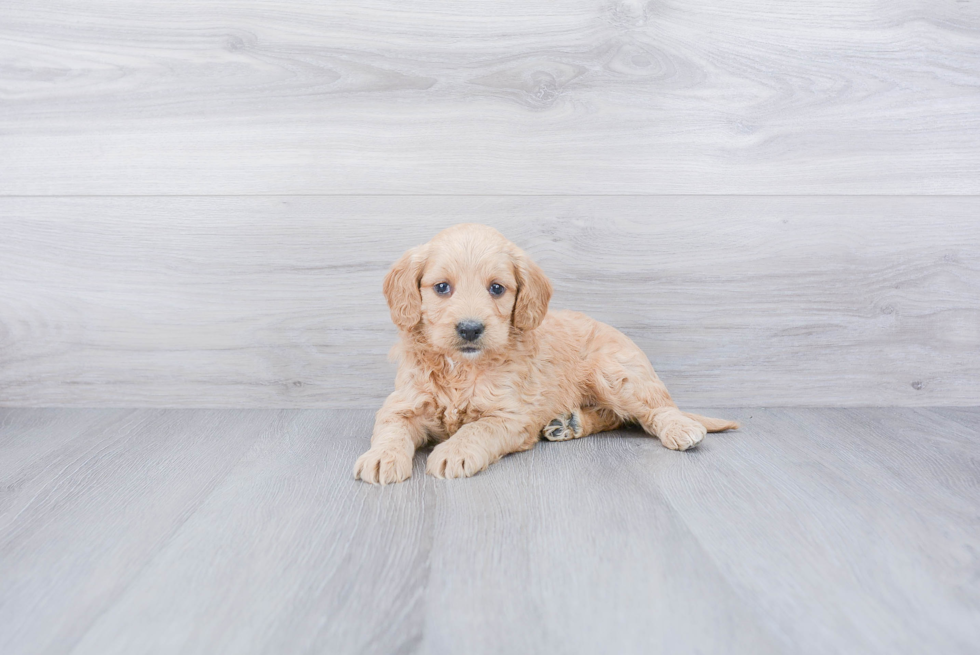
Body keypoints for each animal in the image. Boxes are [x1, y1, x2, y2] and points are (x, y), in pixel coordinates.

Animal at [356, 226, 740, 486]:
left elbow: (477, 429)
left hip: (615, 373)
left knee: (653, 409)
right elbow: (391, 429)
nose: (469, 329)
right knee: (614, 418)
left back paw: (679, 427)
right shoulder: (402, 403)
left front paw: (454, 451)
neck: (463, 368)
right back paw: (569, 424)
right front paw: (381, 457)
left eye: (497, 288)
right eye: (441, 287)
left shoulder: (510, 416)